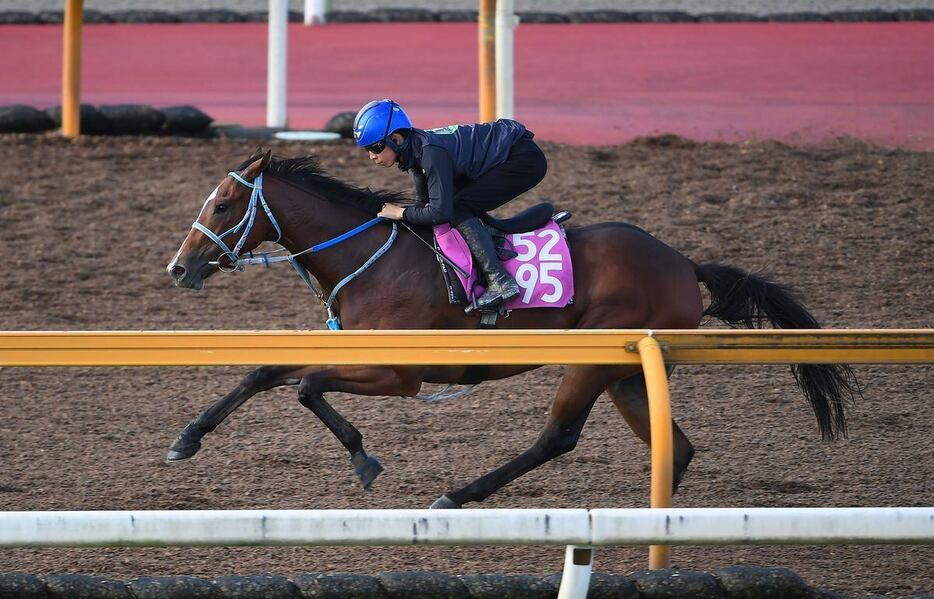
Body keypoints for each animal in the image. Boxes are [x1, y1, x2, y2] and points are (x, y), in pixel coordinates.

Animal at [165, 148, 860, 508]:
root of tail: (686, 264)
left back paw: (460, 494)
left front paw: (365, 460)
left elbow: (308, 388)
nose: (178, 267)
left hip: (593, 357)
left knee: (556, 438)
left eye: (222, 206)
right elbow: (267, 370)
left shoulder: (399, 372)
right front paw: (188, 437)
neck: (371, 257)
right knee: (675, 446)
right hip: (626, 369)